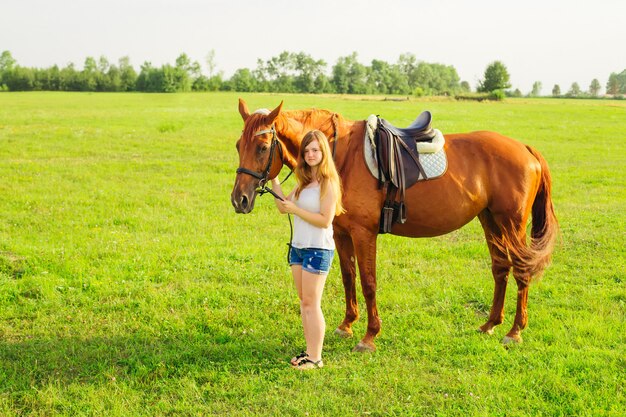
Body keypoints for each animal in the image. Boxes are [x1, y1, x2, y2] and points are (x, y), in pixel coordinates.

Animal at [229, 98, 556, 352]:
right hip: (491, 221)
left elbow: (368, 282)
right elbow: (348, 277)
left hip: (512, 224)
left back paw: (514, 331)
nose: (239, 199)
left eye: (262, 147)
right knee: (500, 268)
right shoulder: (341, 233)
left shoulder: (364, 234)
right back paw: (490, 323)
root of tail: (525, 149)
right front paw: (347, 324)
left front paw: (369, 336)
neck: (340, 155)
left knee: (522, 270)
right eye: (238, 145)